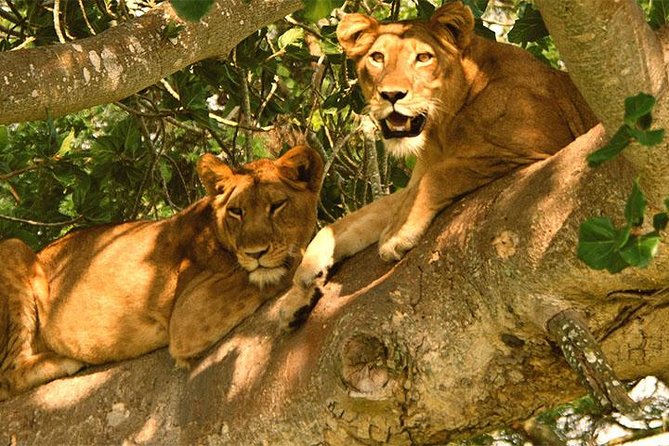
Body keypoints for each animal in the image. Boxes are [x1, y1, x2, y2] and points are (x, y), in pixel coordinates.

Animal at [0, 145, 323, 400]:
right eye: (237, 211)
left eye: (277, 205)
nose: (255, 253)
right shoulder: (188, 316)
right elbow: (284, 267)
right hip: (12, 248)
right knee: (8, 375)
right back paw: (65, 360)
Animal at [277, 1, 598, 327]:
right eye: (377, 58)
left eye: (423, 57)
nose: (391, 95)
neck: (441, 129)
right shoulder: (413, 180)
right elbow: (352, 220)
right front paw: (300, 284)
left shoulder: (536, 148)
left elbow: (439, 176)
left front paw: (396, 235)